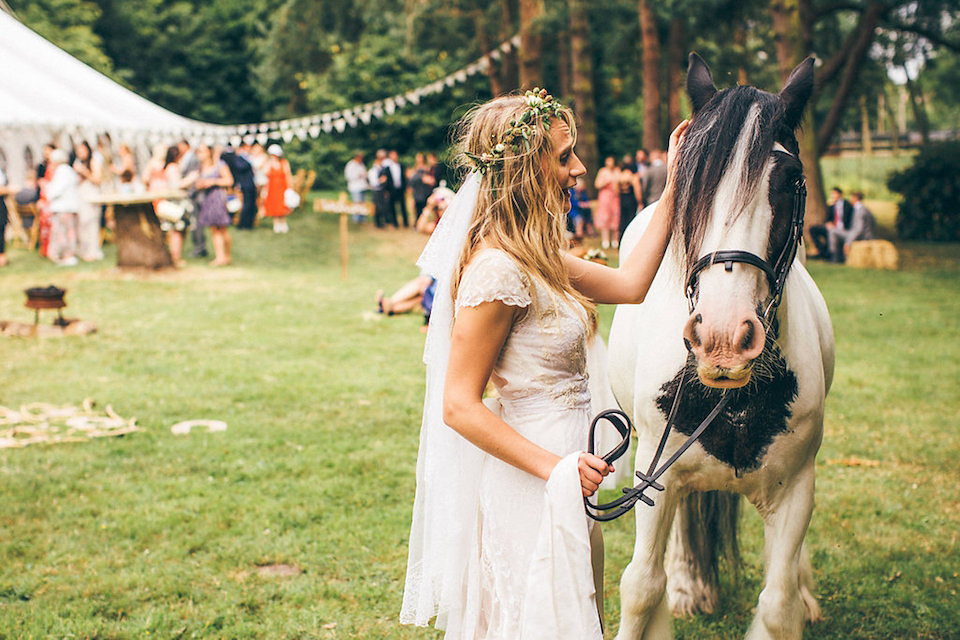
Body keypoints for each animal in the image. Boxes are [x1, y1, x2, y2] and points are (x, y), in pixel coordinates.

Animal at [608, 55, 832, 640]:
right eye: (687, 181)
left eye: (791, 180)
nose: (723, 340)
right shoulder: (655, 479)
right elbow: (642, 586)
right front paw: (674, 591)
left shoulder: (796, 488)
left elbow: (778, 604)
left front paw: (795, 596)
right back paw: (689, 585)